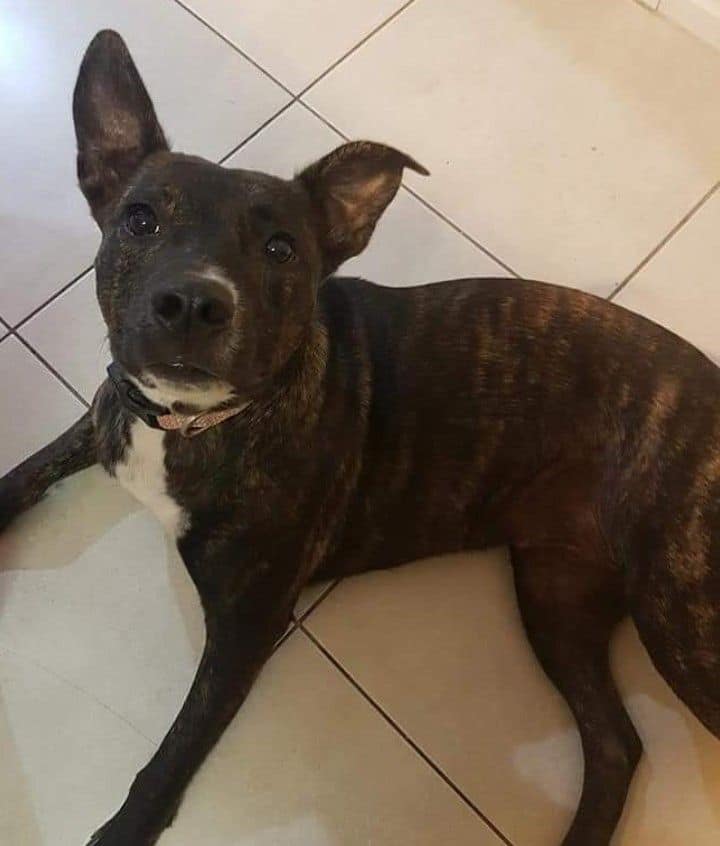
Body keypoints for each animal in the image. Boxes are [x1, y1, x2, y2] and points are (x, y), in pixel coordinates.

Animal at [1, 29, 719, 846]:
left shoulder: (249, 623)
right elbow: (28, 468)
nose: (192, 302)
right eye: (140, 219)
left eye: (281, 249)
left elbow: (178, 743)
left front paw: (128, 825)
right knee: (614, 744)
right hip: (556, 593)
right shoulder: (111, 410)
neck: (192, 420)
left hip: (681, 615)